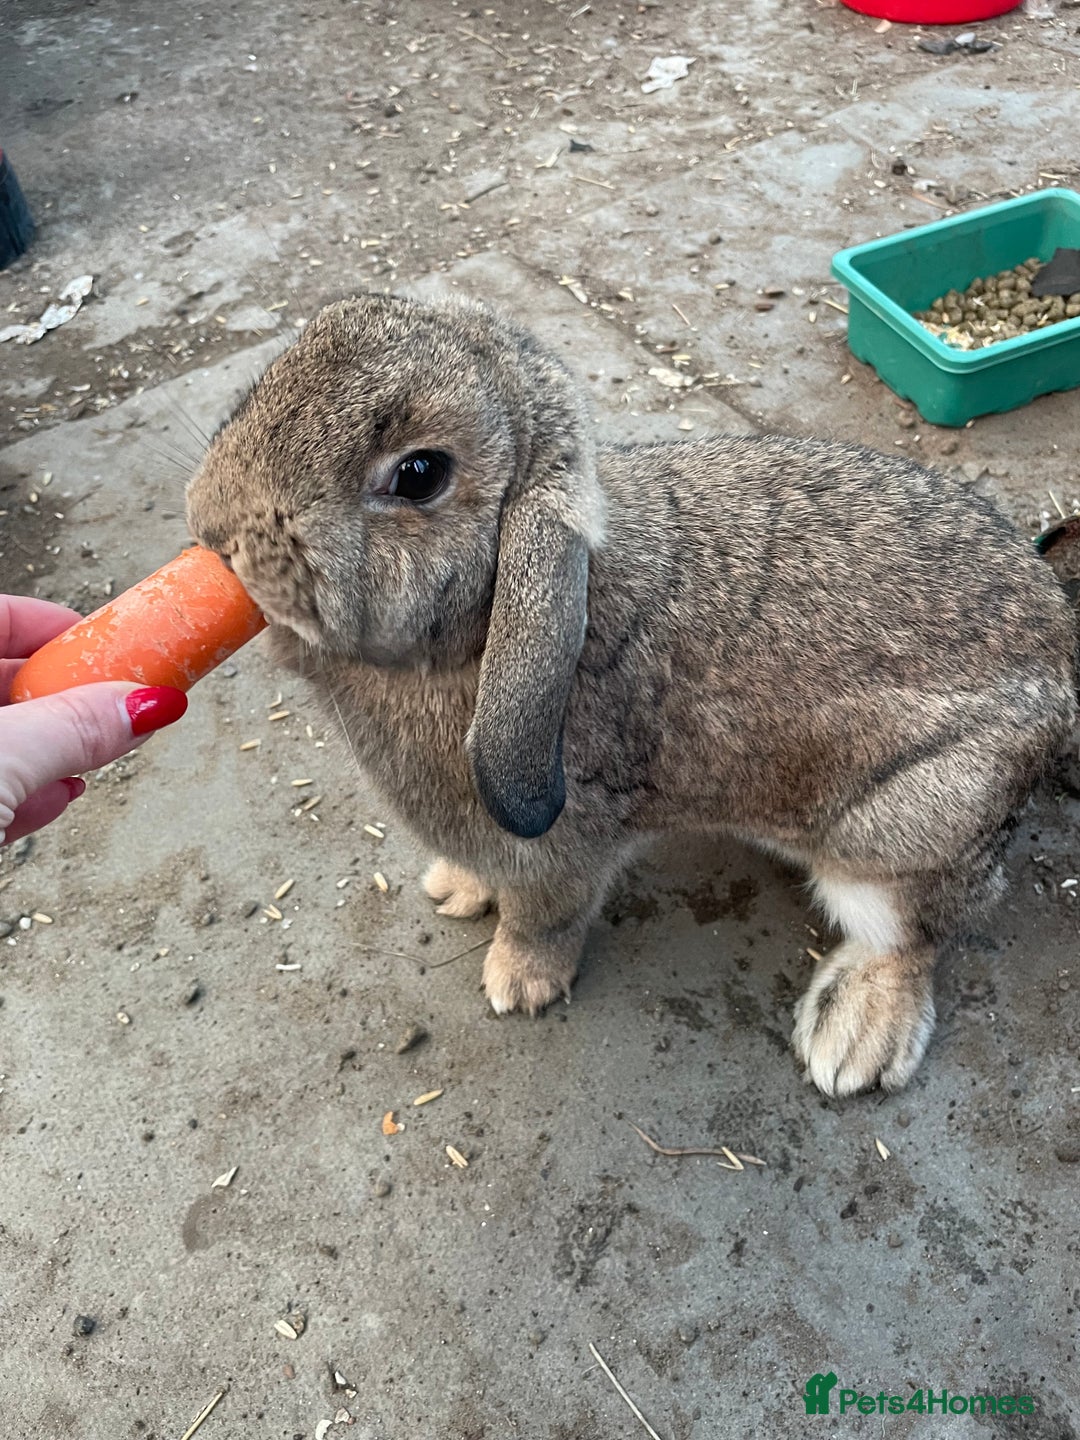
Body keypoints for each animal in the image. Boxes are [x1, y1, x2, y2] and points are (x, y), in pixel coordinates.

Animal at [185, 291, 1078, 1098]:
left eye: (418, 474)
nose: (213, 524)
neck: (481, 630)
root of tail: (1061, 661)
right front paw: (457, 890)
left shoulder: (560, 849)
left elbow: (544, 916)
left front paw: (519, 982)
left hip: (906, 829)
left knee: (917, 933)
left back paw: (853, 1039)